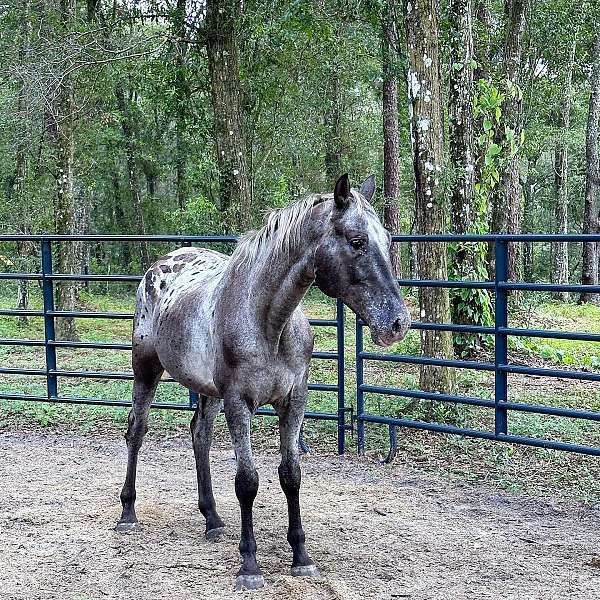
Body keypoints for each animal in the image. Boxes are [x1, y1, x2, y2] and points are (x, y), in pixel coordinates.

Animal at [115, 173, 410, 592]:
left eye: (387, 239)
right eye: (356, 241)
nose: (398, 322)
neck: (269, 323)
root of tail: (159, 266)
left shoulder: (294, 401)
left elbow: (291, 474)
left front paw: (301, 557)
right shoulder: (239, 403)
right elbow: (247, 481)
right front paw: (250, 564)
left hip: (207, 392)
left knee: (199, 435)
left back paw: (212, 519)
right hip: (146, 368)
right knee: (136, 431)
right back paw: (127, 511)